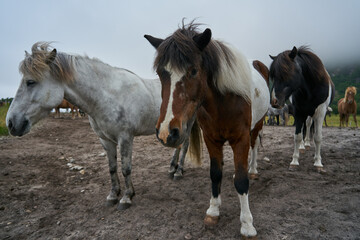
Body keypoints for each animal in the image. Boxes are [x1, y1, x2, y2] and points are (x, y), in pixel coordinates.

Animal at [5, 42, 188, 210]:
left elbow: (126, 168)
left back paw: (178, 171)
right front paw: (113, 195)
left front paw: (127, 197)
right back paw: (172, 168)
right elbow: (112, 168)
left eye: (30, 82)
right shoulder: (105, 139)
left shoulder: (125, 138)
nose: (11, 123)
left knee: (184, 147)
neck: (108, 95)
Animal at [145, 21, 268, 238]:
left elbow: (242, 181)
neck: (224, 102)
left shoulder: (241, 138)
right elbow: (215, 174)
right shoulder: (211, 138)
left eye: (193, 71)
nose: (167, 132)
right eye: (161, 73)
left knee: (254, 147)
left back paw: (253, 169)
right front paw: (213, 210)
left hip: (257, 125)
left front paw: (247, 224)